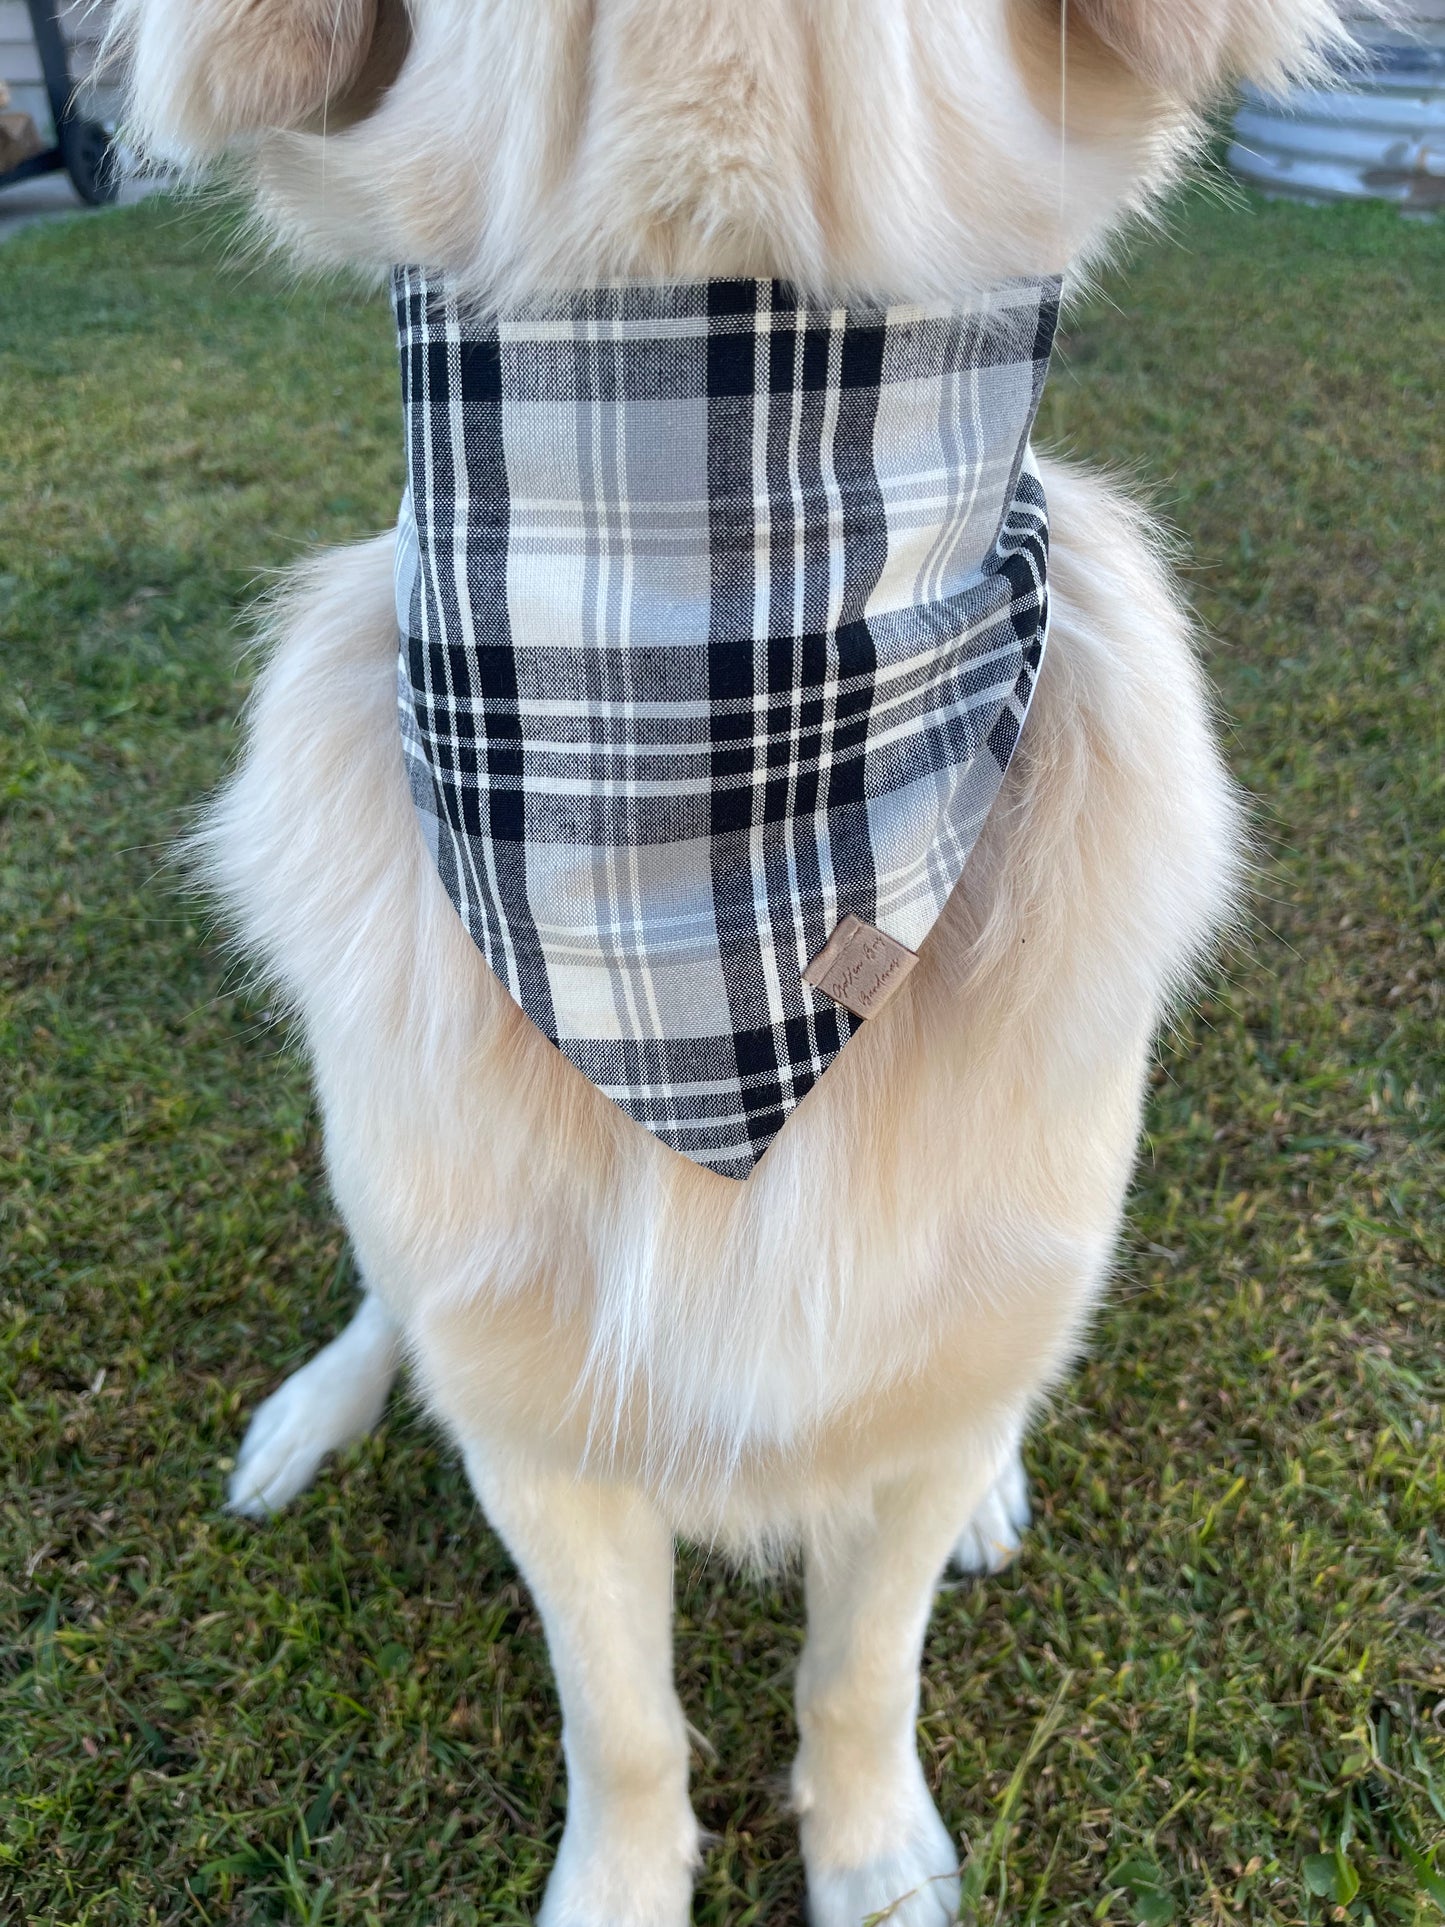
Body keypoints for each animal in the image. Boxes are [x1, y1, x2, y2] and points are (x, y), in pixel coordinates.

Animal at [110, 7, 1356, 1919]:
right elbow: (622, 1716)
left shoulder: (924, 1386)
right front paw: (627, 1879)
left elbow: (862, 1670)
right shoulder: (541, 1434)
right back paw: (312, 1412)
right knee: (388, 1300)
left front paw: (876, 1858)